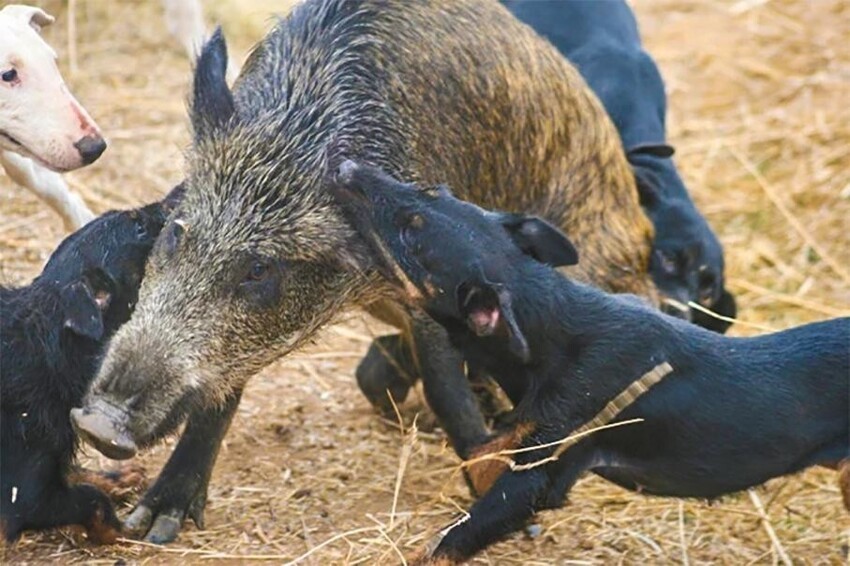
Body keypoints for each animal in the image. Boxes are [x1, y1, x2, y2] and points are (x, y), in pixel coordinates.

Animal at [330, 161, 848, 566]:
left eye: (409, 230)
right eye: (433, 190)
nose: (347, 166)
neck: (551, 334)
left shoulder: (539, 476)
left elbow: (448, 540)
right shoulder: (524, 435)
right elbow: (481, 452)